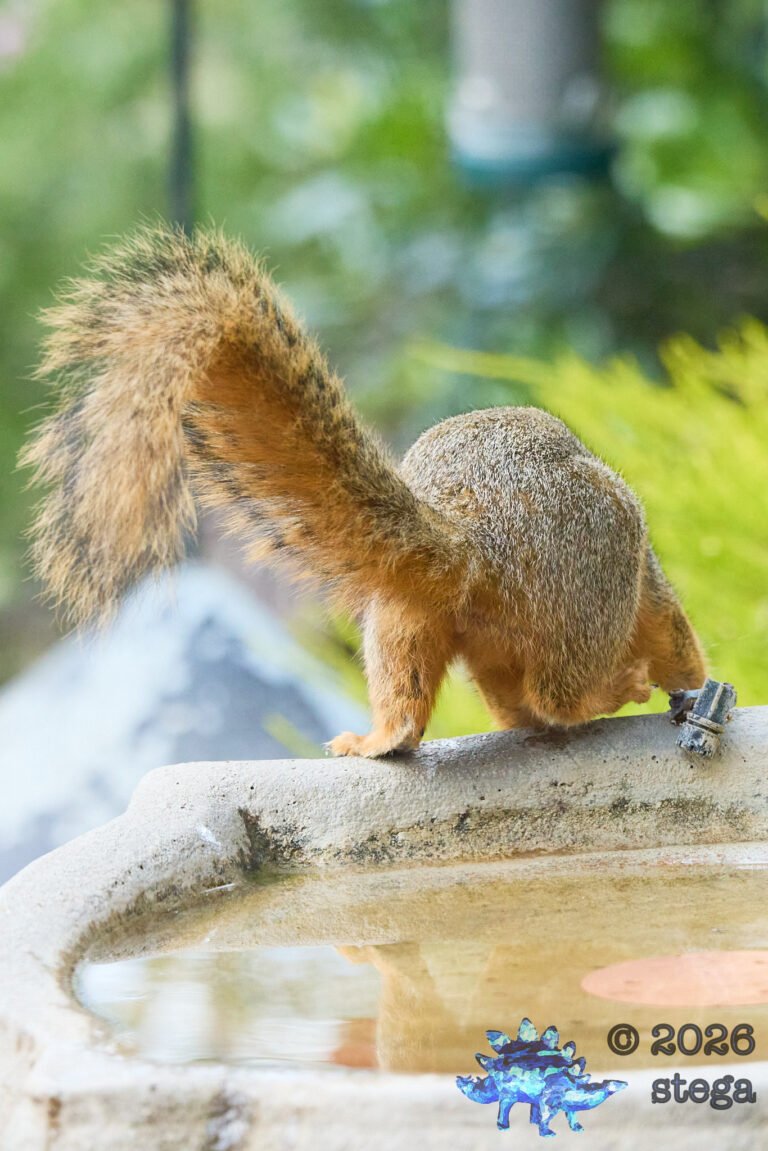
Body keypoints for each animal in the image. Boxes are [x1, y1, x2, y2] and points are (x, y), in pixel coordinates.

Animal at [20, 224, 707, 758]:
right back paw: (613, 689)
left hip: (408, 619)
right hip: (593, 574)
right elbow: (673, 633)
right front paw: (696, 684)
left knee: (427, 703)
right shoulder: (650, 585)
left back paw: (377, 740)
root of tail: (474, 543)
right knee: (559, 694)